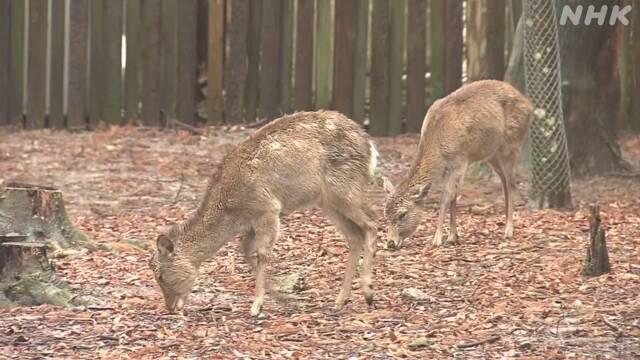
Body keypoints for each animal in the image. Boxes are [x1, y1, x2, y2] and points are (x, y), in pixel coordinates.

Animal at [149, 110, 380, 316]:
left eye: (160, 275)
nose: (170, 307)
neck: (231, 210)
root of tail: (370, 146)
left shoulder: (267, 209)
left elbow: (262, 254)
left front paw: (256, 306)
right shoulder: (250, 223)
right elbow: (246, 252)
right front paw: (286, 300)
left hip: (345, 189)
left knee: (372, 223)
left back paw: (368, 293)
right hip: (328, 203)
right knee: (355, 235)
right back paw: (340, 300)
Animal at [384, 79, 536, 248]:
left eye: (402, 214)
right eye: (386, 214)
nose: (390, 243)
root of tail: (529, 106)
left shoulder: (460, 160)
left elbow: (446, 196)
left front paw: (437, 239)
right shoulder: (452, 166)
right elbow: (454, 195)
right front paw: (453, 236)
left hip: (512, 145)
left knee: (511, 183)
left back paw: (508, 230)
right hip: (492, 154)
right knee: (504, 182)